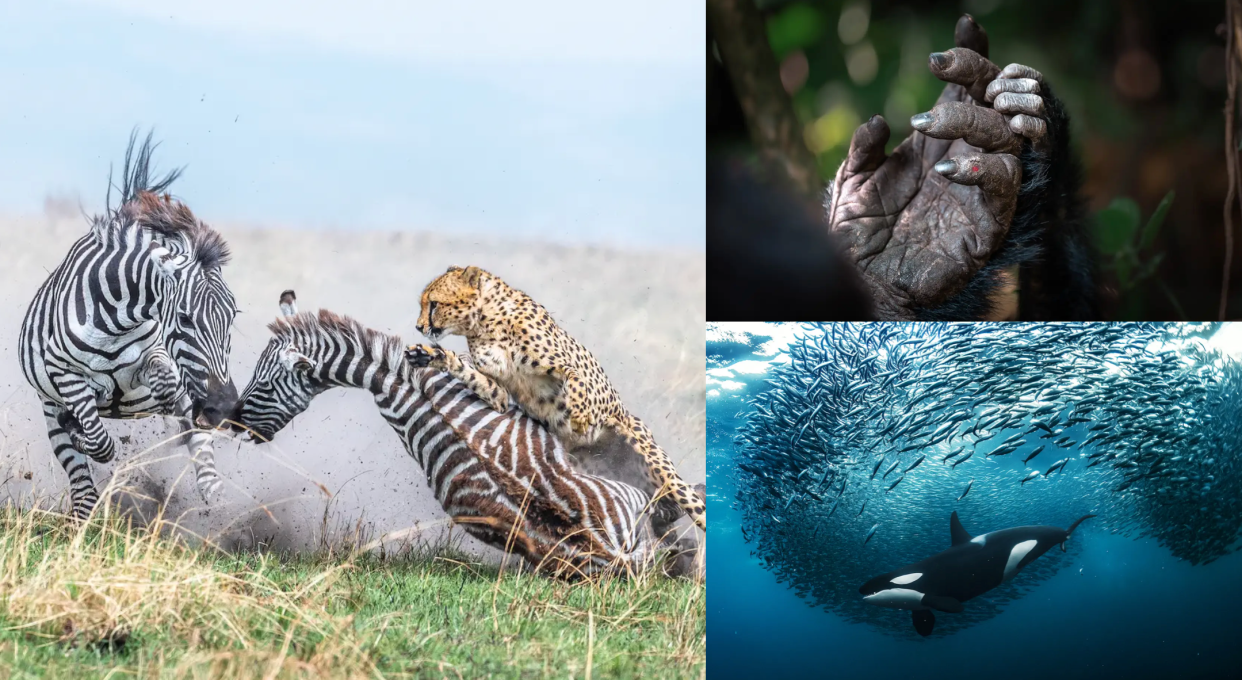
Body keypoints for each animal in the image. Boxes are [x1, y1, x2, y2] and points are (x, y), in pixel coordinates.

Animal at [17, 130, 239, 518]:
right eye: (185, 318)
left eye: (233, 316)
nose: (224, 405)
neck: (114, 320)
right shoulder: (65, 374)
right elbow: (99, 442)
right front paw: (81, 430)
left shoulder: (156, 355)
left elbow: (166, 383)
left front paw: (174, 415)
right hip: (49, 410)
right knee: (82, 486)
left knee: (206, 469)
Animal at [409, 265, 710, 531]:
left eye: (434, 304)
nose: (419, 326)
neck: (485, 321)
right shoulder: (500, 394)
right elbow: (474, 376)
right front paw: (431, 356)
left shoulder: (572, 371)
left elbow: (575, 381)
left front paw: (579, 417)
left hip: (658, 465)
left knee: (693, 504)